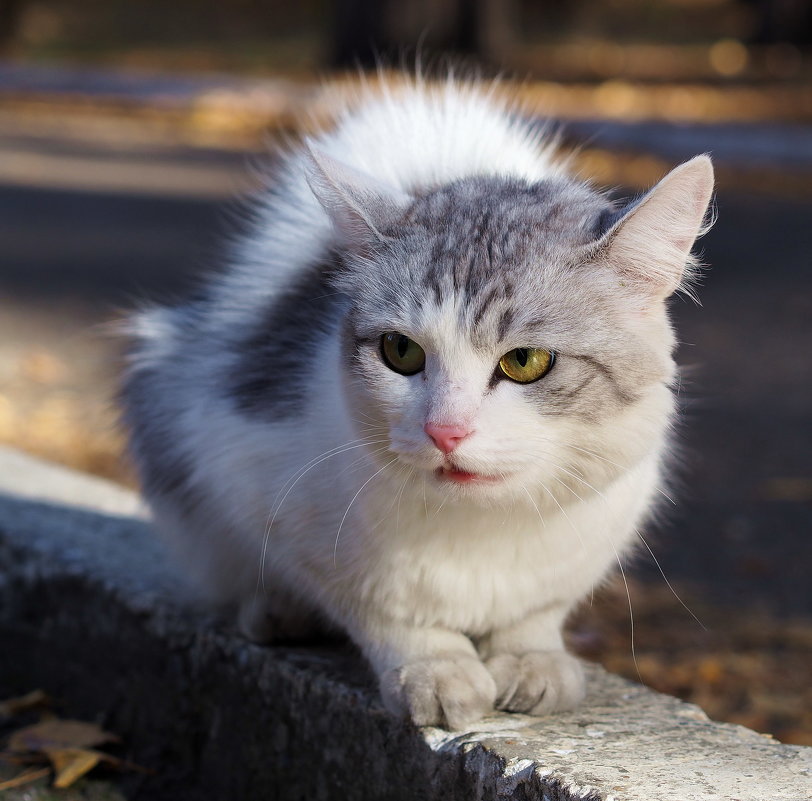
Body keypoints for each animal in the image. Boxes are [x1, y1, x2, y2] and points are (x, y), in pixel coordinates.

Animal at [119, 79, 712, 732]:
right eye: (400, 351)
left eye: (526, 361)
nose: (445, 431)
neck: (479, 531)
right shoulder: (252, 469)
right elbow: (385, 611)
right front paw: (436, 669)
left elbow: (535, 614)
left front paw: (531, 659)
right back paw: (277, 613)